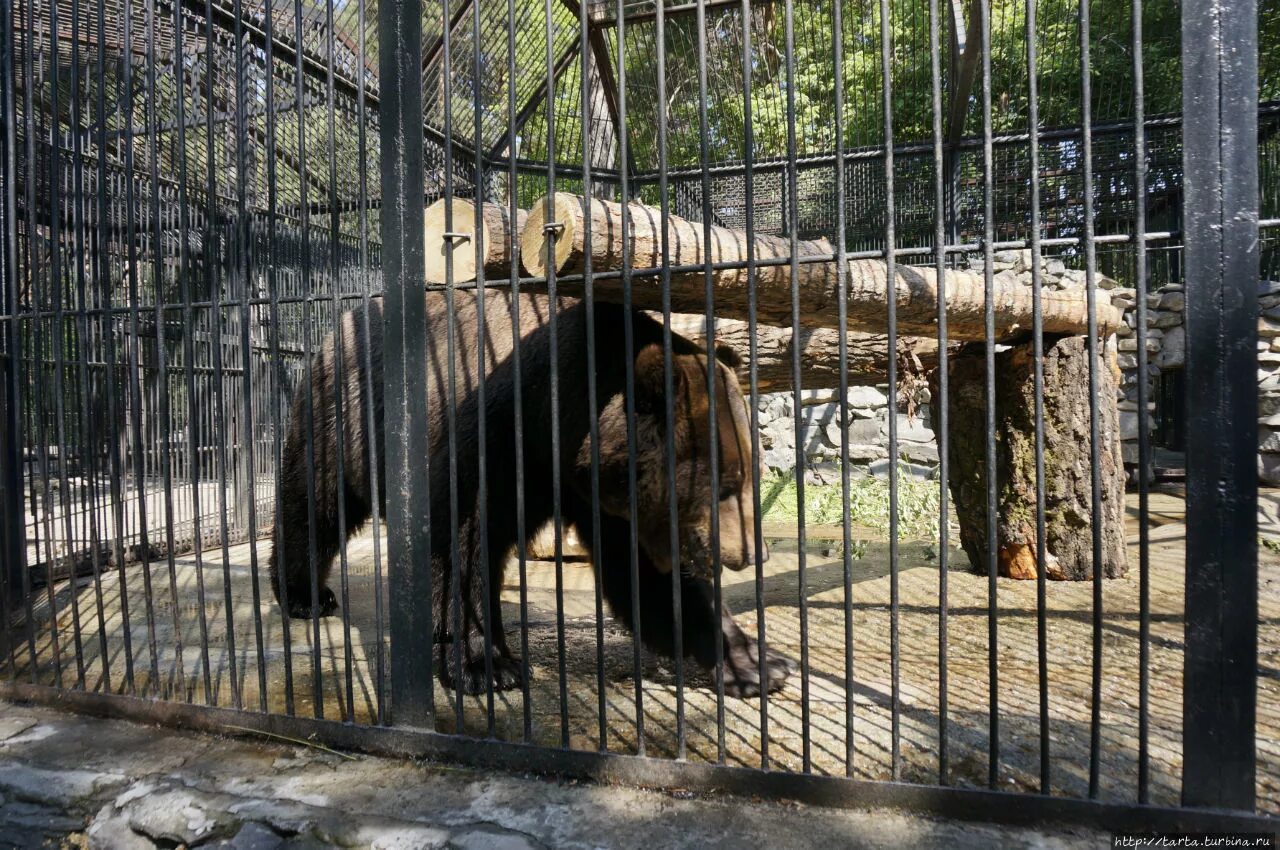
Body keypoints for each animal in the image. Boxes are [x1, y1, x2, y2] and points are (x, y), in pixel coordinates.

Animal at [267, 290, 788, 696]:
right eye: (727, 483)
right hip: (343, 421)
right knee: (313, 502)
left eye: (753, 474)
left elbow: (645, 578)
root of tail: (332, 332)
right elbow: (463, 548)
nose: (754, 552)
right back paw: (305, 594)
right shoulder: (492, 436)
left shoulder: (602, 496)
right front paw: (487, 666)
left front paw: (757, 662)